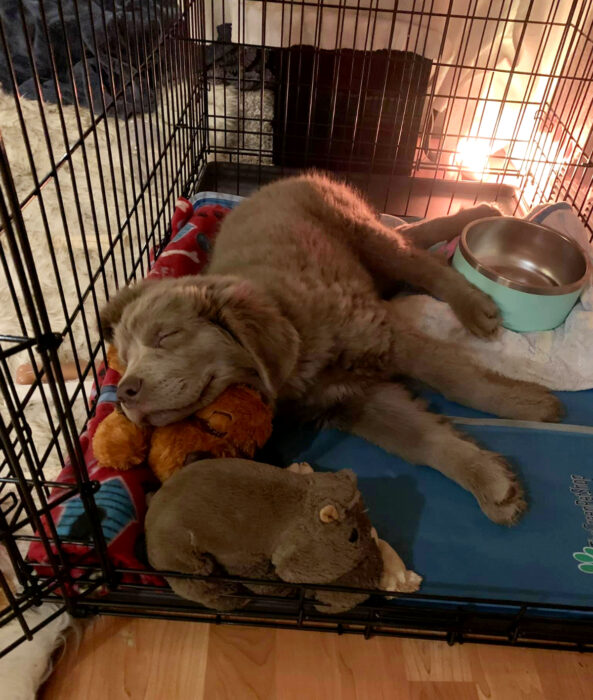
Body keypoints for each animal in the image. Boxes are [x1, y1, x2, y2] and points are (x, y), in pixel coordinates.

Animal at [99, 175, 560, 524]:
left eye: (166, 336)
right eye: (124, 357)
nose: (123, 393)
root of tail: (276, 182)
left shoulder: (387, 336)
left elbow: (458, 379)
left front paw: (527, 405)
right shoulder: (356, 400)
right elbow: (423, 440)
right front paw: (490, 481)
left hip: (363, 232)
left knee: (422, 261)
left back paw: (475, 296)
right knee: (412, 239)